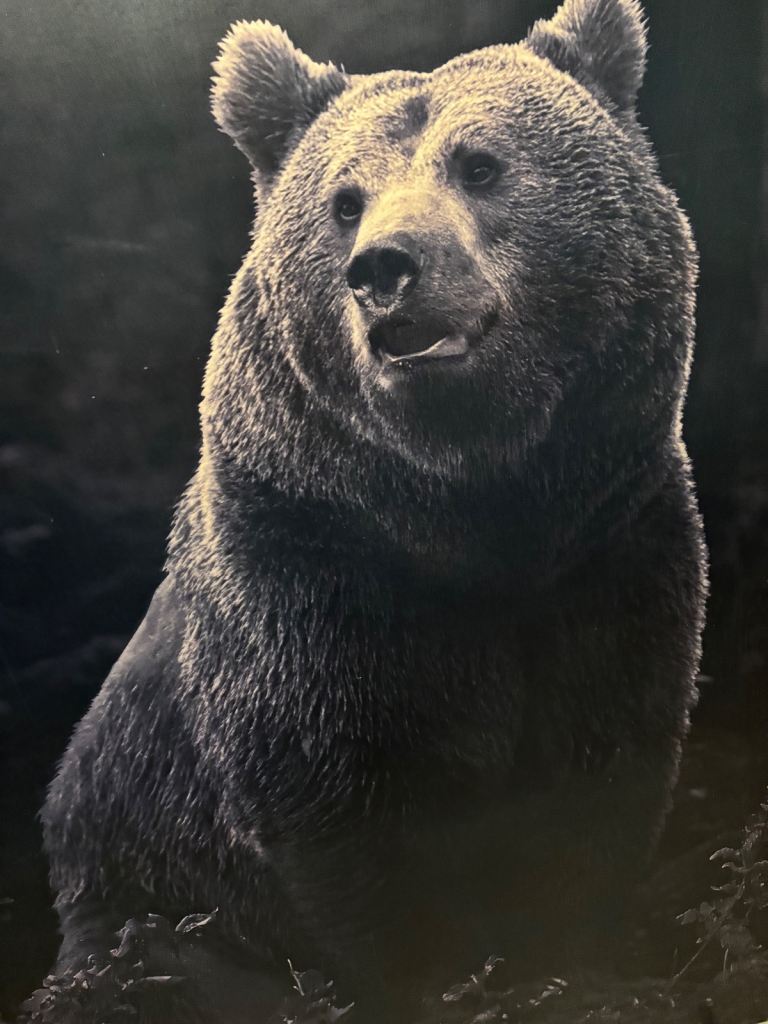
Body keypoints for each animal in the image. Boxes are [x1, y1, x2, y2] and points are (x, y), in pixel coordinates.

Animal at [40, 0, 707, 1021]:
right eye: (345, 200)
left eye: (481, 164)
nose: (385, 268)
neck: (470, 507)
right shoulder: (306, 569)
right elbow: (339, 808)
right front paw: (439, 975)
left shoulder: (613, 542)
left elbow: (603, 761)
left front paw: (577, 961)